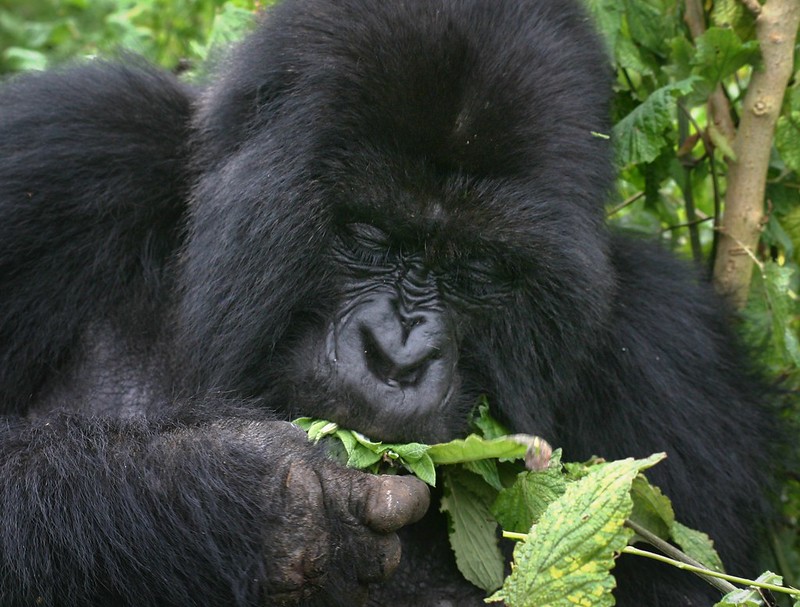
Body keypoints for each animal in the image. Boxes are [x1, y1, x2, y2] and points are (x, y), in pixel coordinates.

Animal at [0, 1, 780, 607]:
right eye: (372, 234)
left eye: (477, 266)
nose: (399, 356)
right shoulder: (65, 153)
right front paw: (236, 496)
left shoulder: (673, 356)